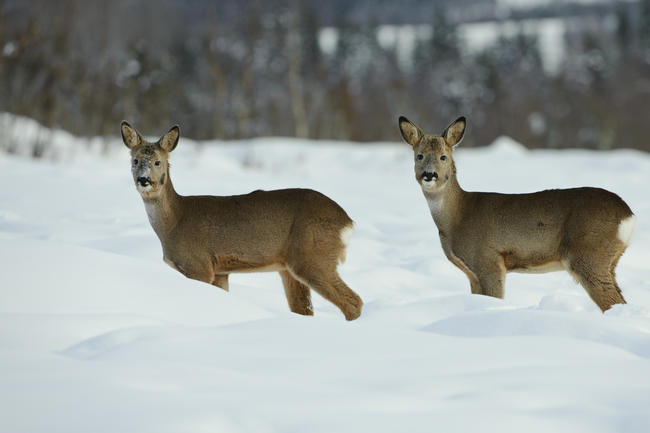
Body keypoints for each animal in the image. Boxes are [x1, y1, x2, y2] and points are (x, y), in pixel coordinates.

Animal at [119, 121, 362, 320]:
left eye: (158, 162)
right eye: (135, 160)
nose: (144, 180)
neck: (174, 222)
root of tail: (348, 221)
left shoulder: (198, 265)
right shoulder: (220, 271)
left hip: (312, 255)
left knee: (353, 302)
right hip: (289, 267)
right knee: (305, 309)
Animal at [394, 115, 632, 310]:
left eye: (443, 157)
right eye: (419, 156)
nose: (429, 175)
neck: (456, 218)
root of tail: (628, 215)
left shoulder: (489, 261)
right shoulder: (473, 274)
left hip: (588, 255)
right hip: (609, 260)